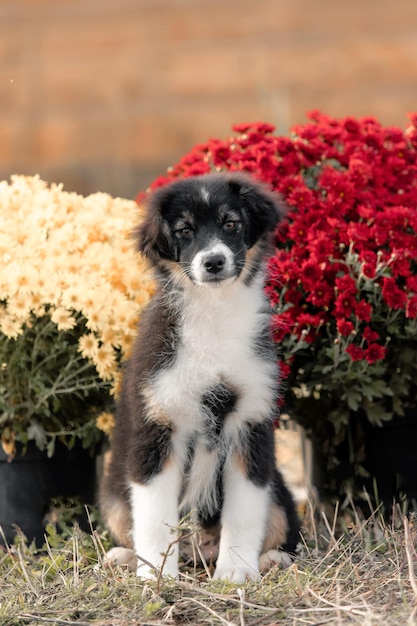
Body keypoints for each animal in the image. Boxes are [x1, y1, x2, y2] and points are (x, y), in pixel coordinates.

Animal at [100, 171, 300, 580]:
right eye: (184, 230)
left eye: (230, 224)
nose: (213, 262)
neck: (213, 312)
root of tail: (198, 553)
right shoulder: (159, 427)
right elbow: (153, 516)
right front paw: (157, 575)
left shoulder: (250, 425)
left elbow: (245, 512)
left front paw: (236, 573)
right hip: (113, 494)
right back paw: (123, 557)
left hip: (279, 489)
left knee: (276, 521)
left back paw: (271, 560)